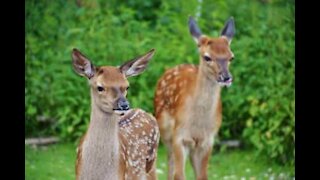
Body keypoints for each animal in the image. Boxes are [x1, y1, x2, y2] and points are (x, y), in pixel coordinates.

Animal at [154, 16, 236, 179]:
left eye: (231, 57)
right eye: (207, 57)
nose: (226, 77)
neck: (198, 125)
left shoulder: (208, 141)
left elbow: (203, 175)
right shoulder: (179, 136)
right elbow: (179, 175)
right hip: (165, 130)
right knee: (170, 162)